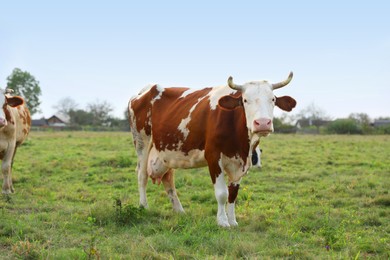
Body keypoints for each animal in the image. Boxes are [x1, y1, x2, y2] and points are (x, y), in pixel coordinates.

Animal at [128, 72, 296, 226]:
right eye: (245, 100)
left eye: (273, 99)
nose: (262, 123)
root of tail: (145, 90)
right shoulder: (214, 157)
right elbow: (222, 193)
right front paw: (222, 222)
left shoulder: (241, 162)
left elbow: (233, 194)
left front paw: (233, 221)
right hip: (142, 143)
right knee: (142, 175)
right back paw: (143, 206)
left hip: (165, 153)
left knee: (168, 179)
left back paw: (179, 211)